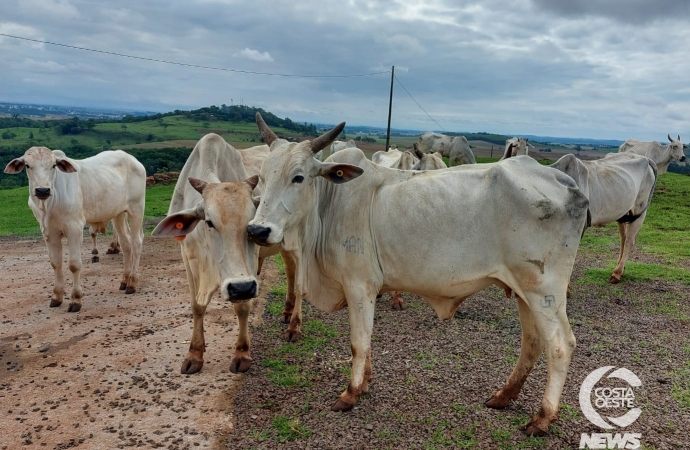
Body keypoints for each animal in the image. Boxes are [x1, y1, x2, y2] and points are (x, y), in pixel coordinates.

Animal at [152, 134, 296, 372]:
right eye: (209, 222)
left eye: (251, 223)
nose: (241, 287)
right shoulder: (188, 259)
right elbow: (197, 306)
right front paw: (195, 353)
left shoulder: (246, 272)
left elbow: (243, 307)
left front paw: (242, 354)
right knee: (290, 270)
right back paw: (287, 312)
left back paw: (294, 324)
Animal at [246, 112, 584, 436]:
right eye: (262, 177)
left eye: (298, 177)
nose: (257, 230)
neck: (330, 205)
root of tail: (563, 180)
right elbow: (367, 340)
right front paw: (365, 382)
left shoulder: (358, 285)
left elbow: (358, 342)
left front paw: (350, 392)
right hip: (525, 291)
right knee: (532, 341)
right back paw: (504, 395)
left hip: (545, 291)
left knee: (560, 345)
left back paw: (542, 418)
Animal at [548, 153, 656, 284]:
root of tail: (645, 158)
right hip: (623, 213)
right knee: (623, 239)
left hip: (640, 208)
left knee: (629, 241)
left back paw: (617, 273)